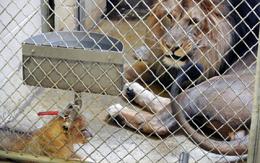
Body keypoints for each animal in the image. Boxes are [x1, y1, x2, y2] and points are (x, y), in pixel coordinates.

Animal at [107, 0, 258, 155]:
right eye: (169, 17)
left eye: (193, 22)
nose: (171, 47)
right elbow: (132, 68)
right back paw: (132, 91)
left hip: (204, 89)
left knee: (158, 123)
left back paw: (118, 112)